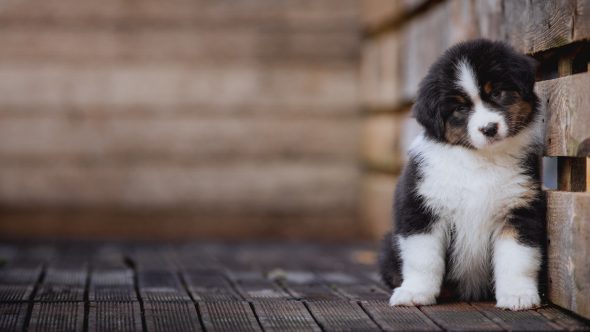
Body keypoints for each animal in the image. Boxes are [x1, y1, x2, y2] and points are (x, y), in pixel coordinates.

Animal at [380, 39, 544, 312]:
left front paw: (518, 296)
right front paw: (415, 293)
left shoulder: (520, 209)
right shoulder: (421, 207)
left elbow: (517, 259)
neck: (480, 160)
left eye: (497, 93)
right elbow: (423, 259)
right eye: (459, 108)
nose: (489, 128)